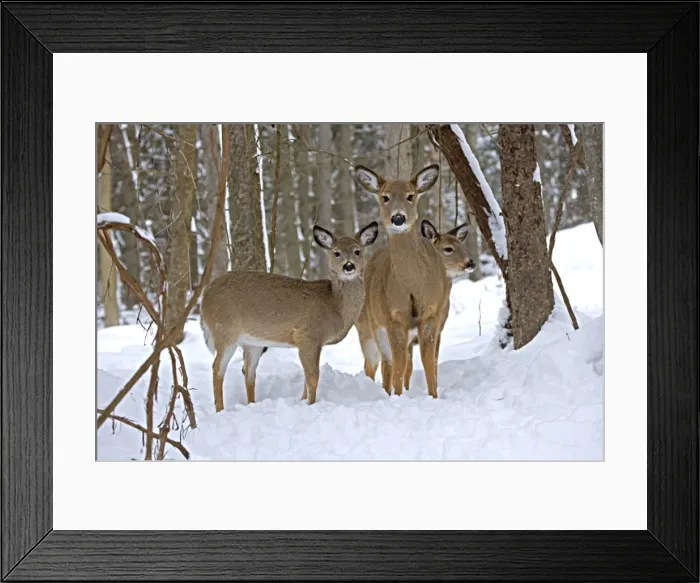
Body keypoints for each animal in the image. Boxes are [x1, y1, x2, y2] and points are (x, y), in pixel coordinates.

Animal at [199, 221, 379, 411]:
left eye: (357, 251)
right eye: (336, 252)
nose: (349, 266)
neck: (335, 305)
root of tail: (204, 295)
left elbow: (307, 379)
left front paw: (303, 401)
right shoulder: (308, 336)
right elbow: (313, 377)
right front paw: (311, 404)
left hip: (252, 342)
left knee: (248, 372)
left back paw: (252, 404)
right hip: (225, 330)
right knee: (217, 368)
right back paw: (220, 410)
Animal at [354, 163, 451, 399]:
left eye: (410, 195)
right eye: (385, 197)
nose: (398, 218)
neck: (412, 286)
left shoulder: (432, 314)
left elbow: (429, 362)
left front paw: (433, 396)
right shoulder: (393, 317)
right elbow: (398, 365)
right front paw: (398, 397)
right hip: (372, 324)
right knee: (383, 363)